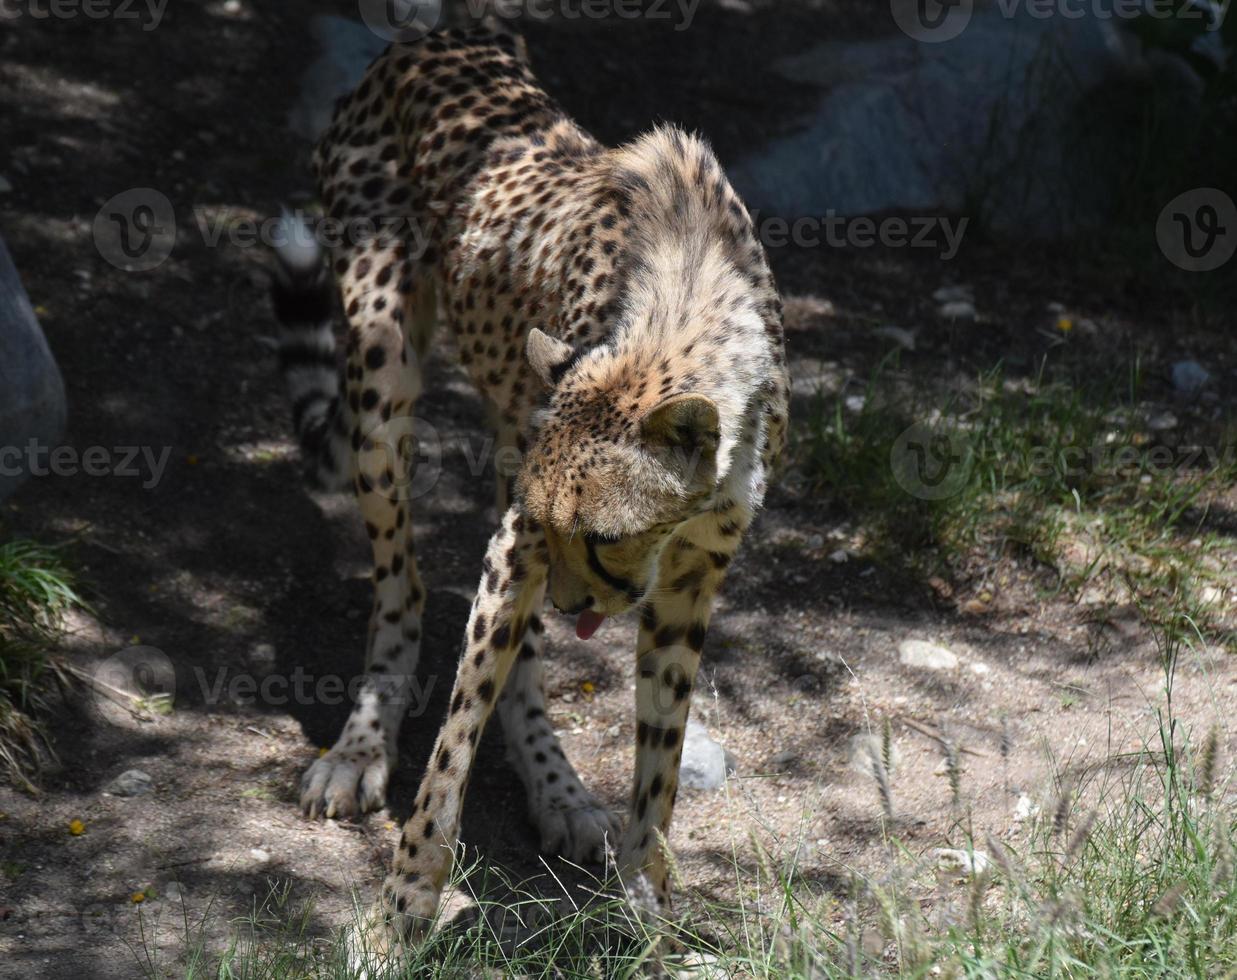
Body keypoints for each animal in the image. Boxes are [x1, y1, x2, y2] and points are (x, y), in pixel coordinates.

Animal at [270, 22, 786, 955]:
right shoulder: (521, 536)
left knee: (512, 659)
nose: (577, 602)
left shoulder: (690, 577)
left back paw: (560, 789)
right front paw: (401, 915)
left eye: (608, 538)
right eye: (564, 532)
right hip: (382, 378)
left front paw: (647, 907)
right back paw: (360, 748)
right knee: (403, 589)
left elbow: (659, 757)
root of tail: (427, 38)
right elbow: (449, 753)